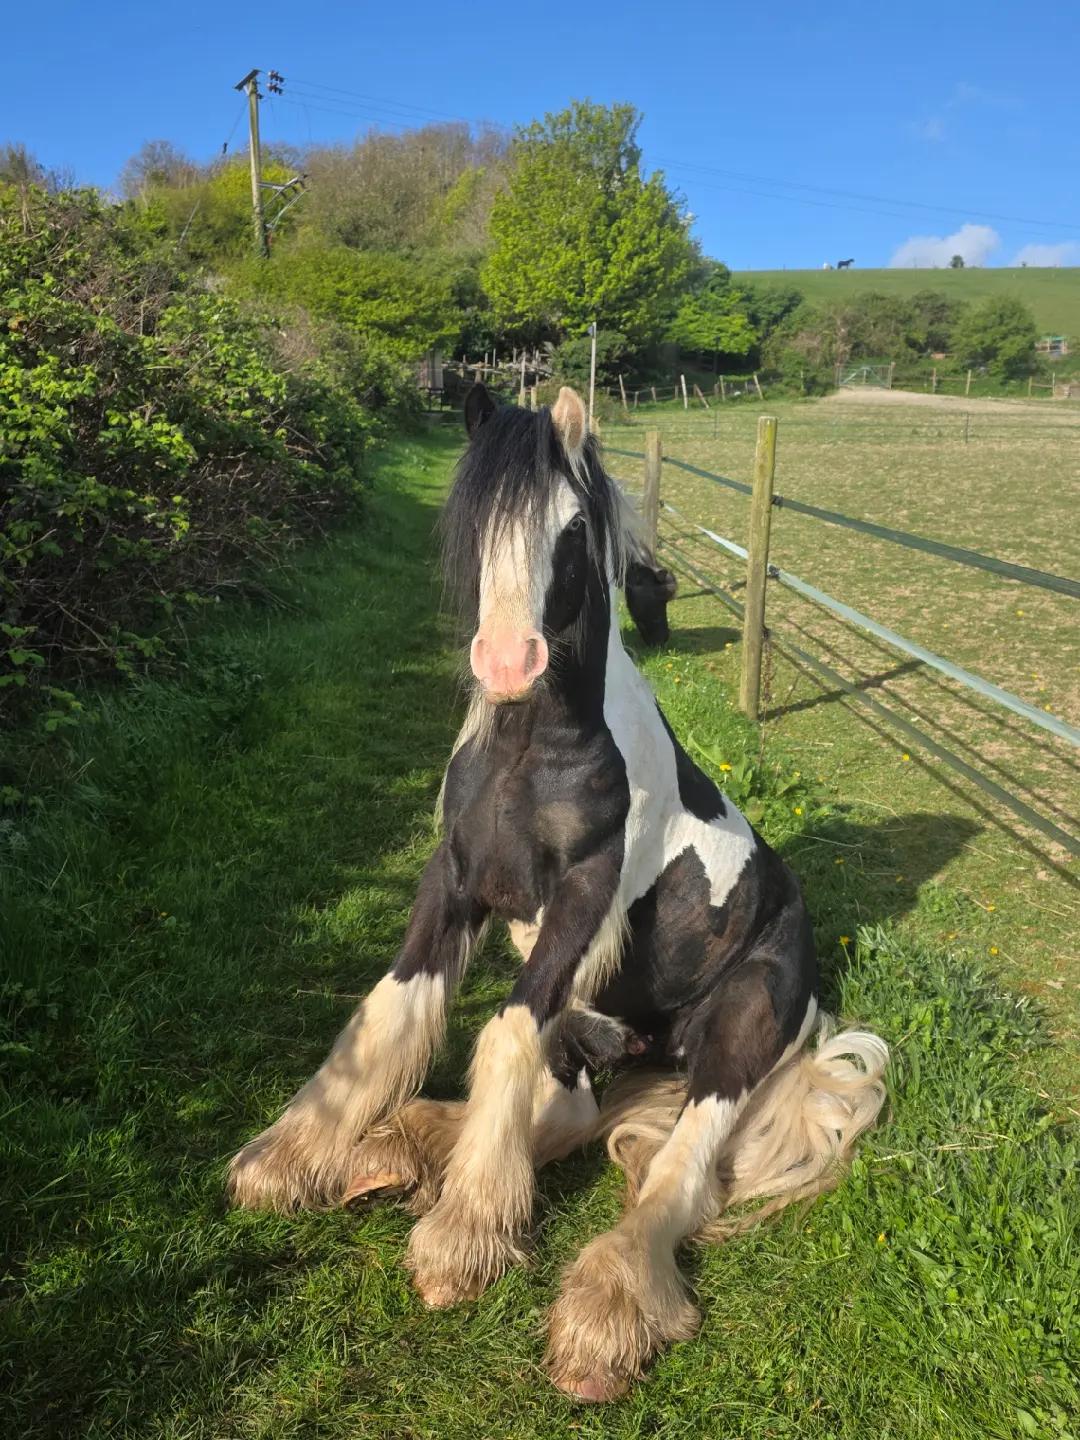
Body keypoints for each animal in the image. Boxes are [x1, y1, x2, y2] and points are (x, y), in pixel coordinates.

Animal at [228, 384, 888, 1402]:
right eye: (477, 524)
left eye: (572, 528)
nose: (507, 663)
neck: (531, 751)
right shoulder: (455, 880)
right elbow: (387, 1015)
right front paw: (287, 1161)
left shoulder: (581, 903)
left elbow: (504, 1030)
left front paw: (461, 1246)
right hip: (596, 1028)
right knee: (573, 1114)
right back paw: (397, 1154)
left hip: (734, 1035)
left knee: (679, 1173)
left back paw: (600, 1319)